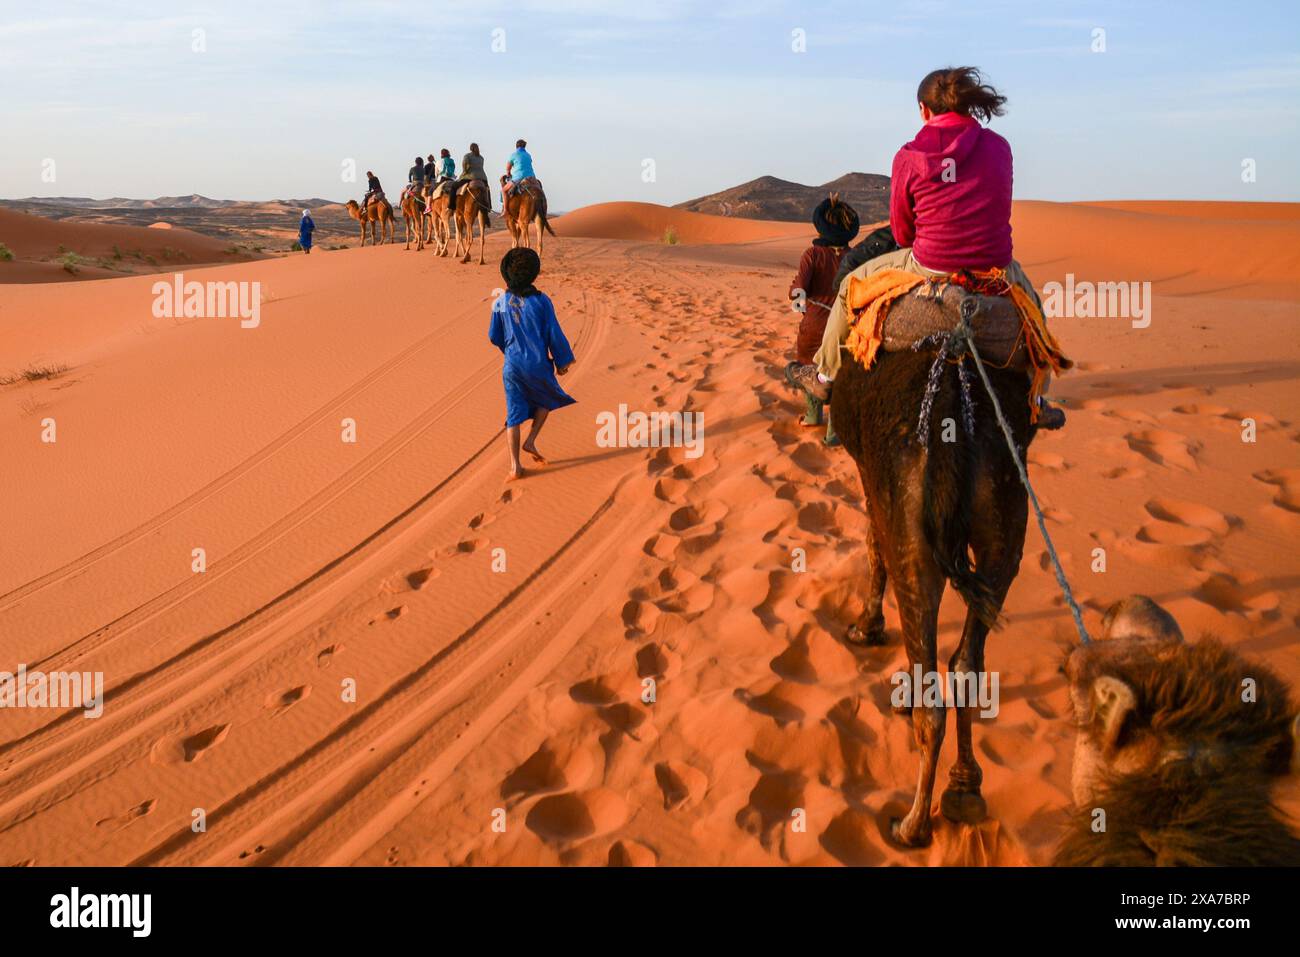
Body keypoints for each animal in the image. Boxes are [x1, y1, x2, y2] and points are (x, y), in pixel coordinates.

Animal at [832, 335, 1034, 842]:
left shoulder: (869, 476)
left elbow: (873, 546)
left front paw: (866, 628)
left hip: (912, 527)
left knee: (932, 690)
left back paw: (912, 824)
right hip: (1006, 519)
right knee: (966, 662)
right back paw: (965, 787)